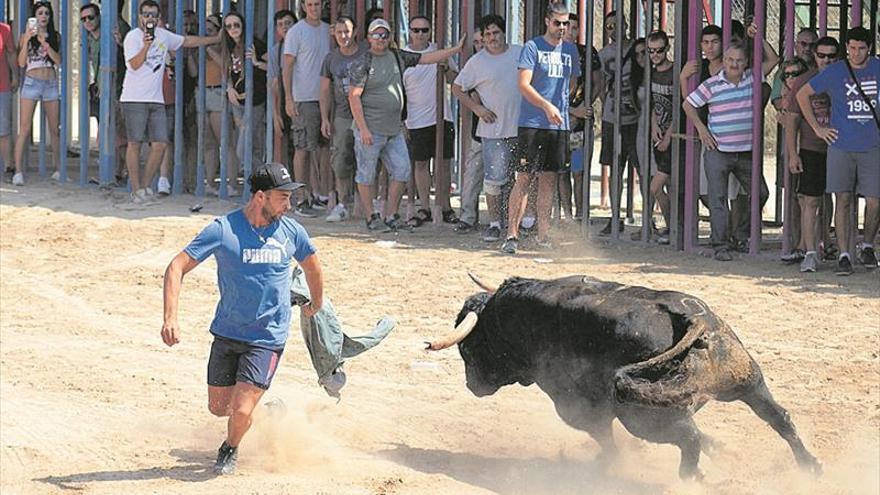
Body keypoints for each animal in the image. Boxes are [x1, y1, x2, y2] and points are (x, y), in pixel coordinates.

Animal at [430, 278, 820, 478]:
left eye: (468, 349)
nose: (472, 386)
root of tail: (690, 319)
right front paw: (726, 452)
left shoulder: (577, 408)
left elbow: (605, 438)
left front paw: (609, 466)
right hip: (745, 381)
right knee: (778, 417)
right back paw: (810, 467)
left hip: (642, 416)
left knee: (689, 438)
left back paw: (691, 479)